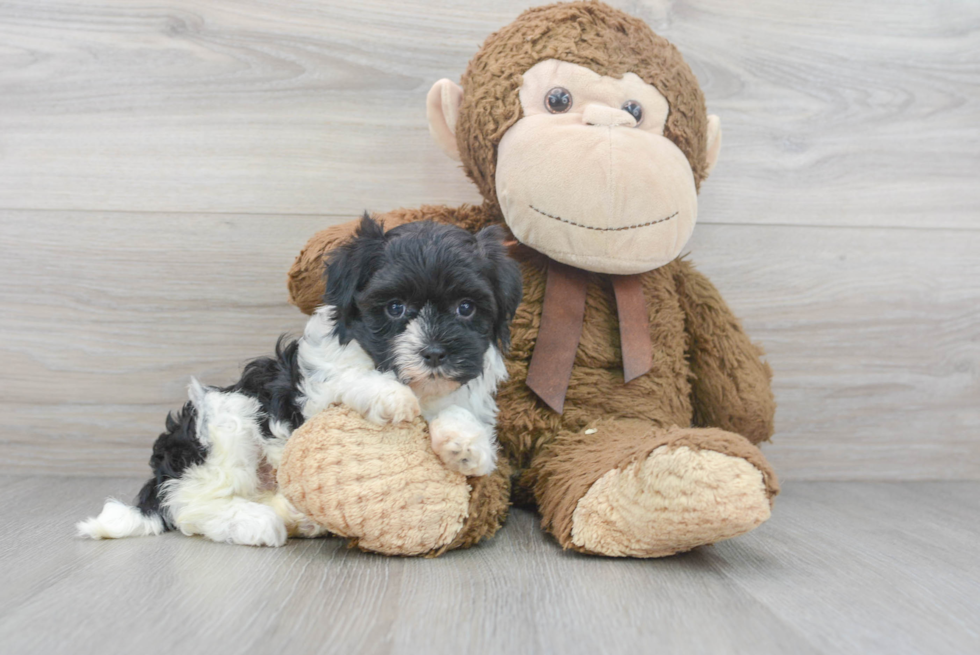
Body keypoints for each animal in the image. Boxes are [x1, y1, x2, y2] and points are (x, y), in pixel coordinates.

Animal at [78, 219, 520, 548]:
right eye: (395, 308)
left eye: (466, 308)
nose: (434, 352)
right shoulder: (315, 386)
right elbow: (349, 374)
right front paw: (390, 394)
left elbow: (462, 412)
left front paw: (466, 445)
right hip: (228, 419)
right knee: (191, 505)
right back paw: (254, 522)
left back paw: (297, 517)